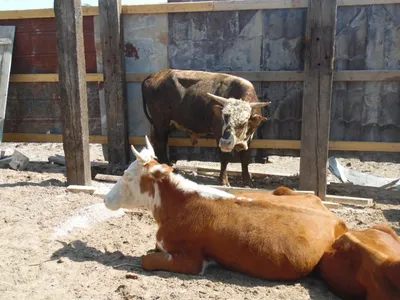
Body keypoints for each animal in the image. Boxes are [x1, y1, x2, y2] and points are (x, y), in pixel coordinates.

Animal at [104, 138, 348, 282]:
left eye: (128, 176)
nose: (106, 199)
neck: (177, 205)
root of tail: (333, 218)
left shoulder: (191, 261)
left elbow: (146, 260)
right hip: (282, 190)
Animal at [141, 69, 272, 186]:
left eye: (244, 122)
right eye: (224, 117)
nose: (226, 142)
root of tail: (154, 75)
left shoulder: (250, 137)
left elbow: (245, 158)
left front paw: (247, 181)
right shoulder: (219, 133)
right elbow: (224, 157)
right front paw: (223, 180)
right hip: (161, 122)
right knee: (161, 144)